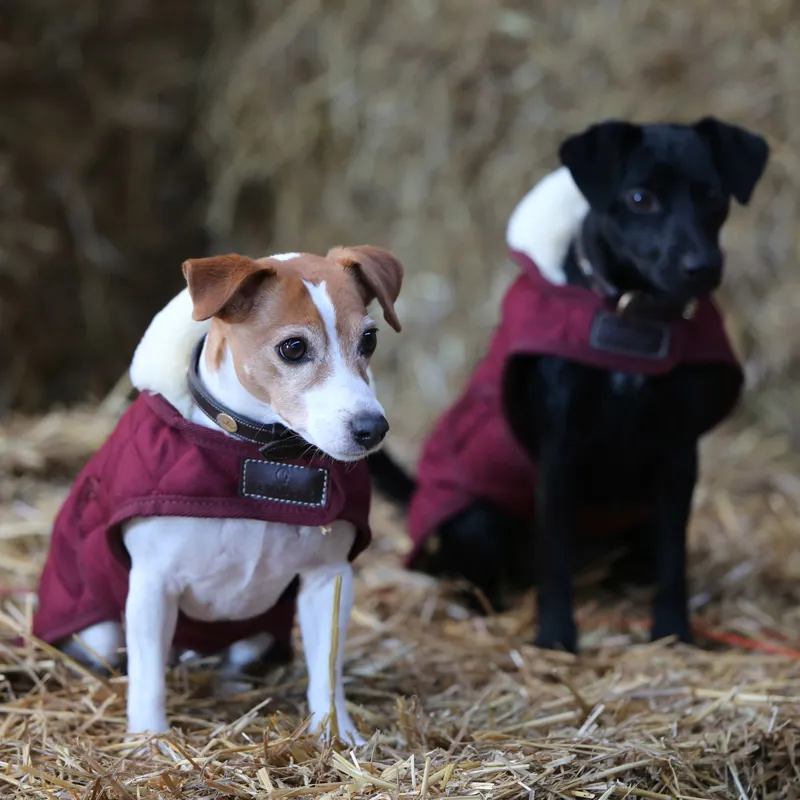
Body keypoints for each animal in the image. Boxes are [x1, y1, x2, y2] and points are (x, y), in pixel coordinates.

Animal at [372, 120, 764, 656]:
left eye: (712, 196)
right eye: (640, 198)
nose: (700, 267)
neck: (632, 321)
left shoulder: (678, 454)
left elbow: (674, 559)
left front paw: (672, 631)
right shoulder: (559, 452)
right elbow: (553, 556)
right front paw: (556, 635)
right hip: (477, 517)